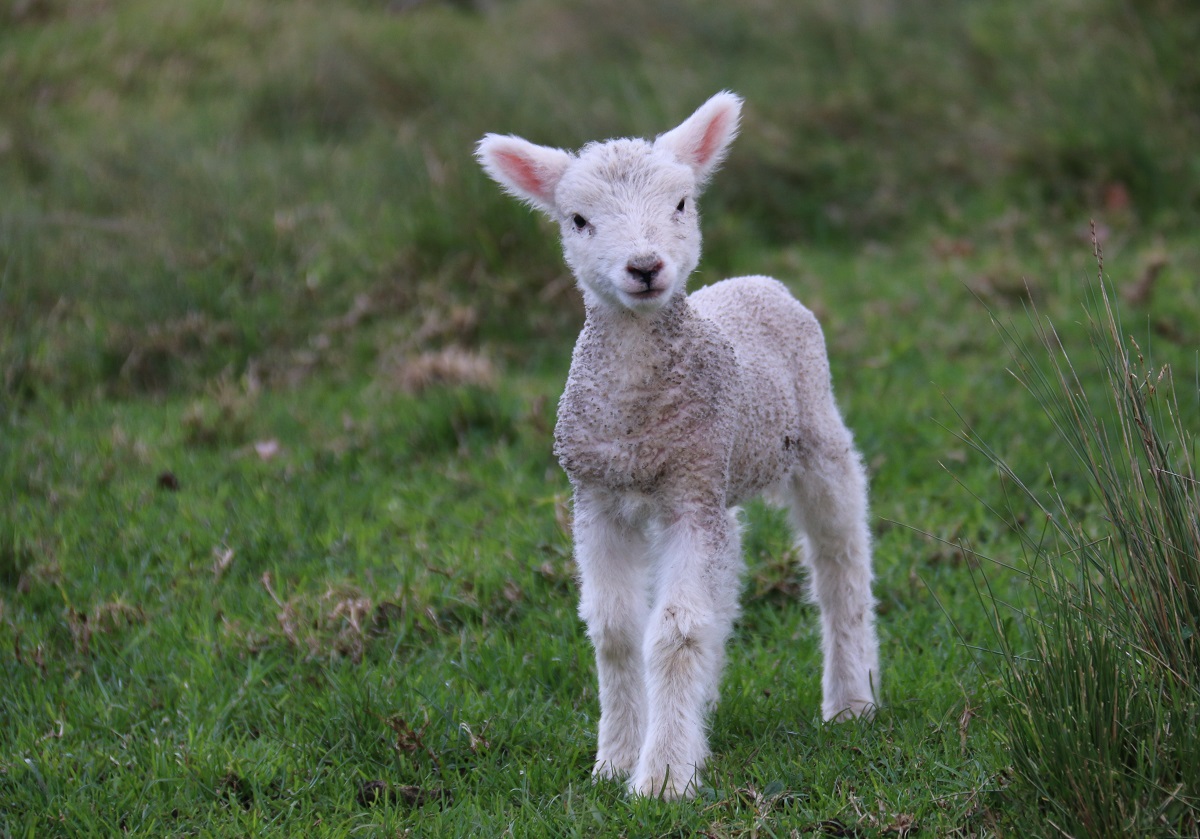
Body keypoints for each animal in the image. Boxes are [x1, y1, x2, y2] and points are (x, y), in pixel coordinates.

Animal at [475, 91, 880, 800]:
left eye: (682, 204)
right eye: (578, 219)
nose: (644, 267)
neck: (637, 420)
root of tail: (758, 281)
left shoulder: (689, 493)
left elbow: (675, 633)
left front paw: (662, 777)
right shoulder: (599, 498)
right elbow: (616, 632)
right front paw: (614, 761)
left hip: (815, 437)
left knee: (840, 562)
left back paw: (850, 700)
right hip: (722, 478)